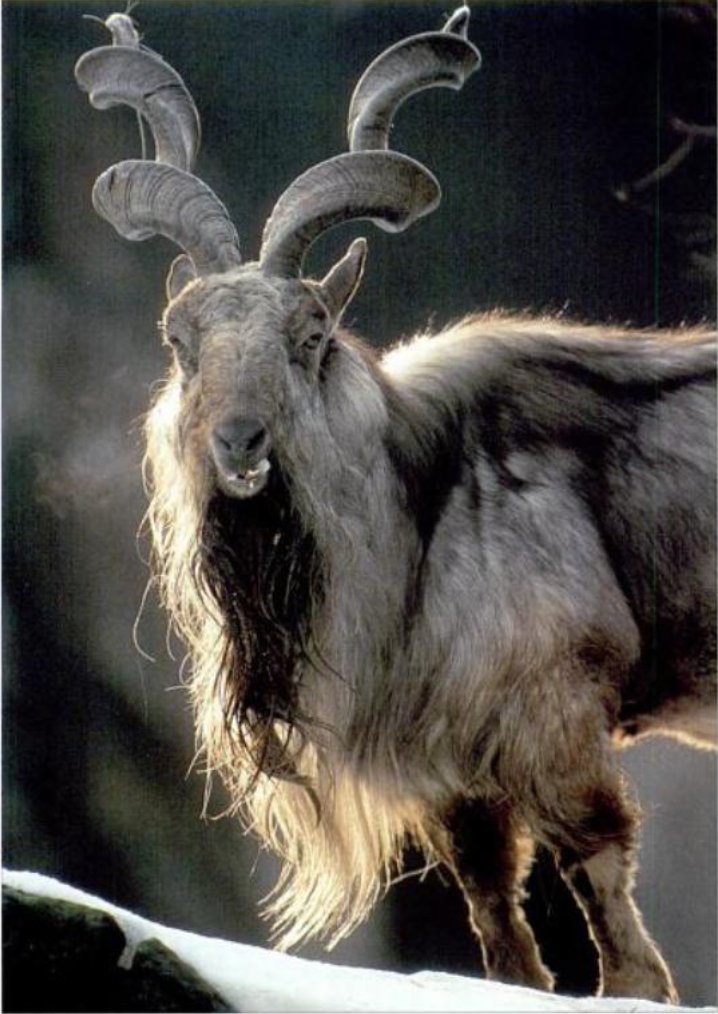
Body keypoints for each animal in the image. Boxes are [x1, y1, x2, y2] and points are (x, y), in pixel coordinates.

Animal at [75, 6, 715, 1003]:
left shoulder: (558, 716)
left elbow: (611, 902)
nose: (239, 445)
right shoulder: (456, 782)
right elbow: (499, 923)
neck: (419, 515)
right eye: (180, 341)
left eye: (312, 335)